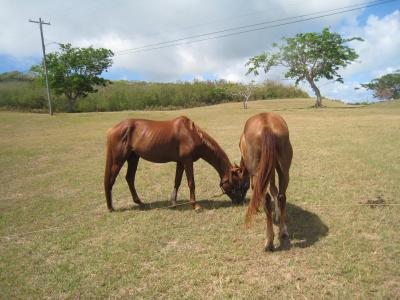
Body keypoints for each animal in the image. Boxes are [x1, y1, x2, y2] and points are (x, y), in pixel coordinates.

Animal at [104, 115, 245, 211]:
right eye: (236, 183)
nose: (239, 201)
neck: (192, 134)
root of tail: (112, 129)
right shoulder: (187, 161)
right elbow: (191, 183)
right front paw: (195, 206)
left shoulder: (180, 162)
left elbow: (177, 181)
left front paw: (173, 202)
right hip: (119, 159)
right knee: (111, 180)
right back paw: (111, 207)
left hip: (133, 158)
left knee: (129, 178)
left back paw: (140, 203)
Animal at [239, 112, 292, 251]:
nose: (238, 200)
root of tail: (266, 126)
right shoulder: (270, 169)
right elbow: (274, 189)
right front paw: (277, 215)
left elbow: (255, 189)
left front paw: (256, 208)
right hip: (284, 170)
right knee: (281, 196)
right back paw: (283, 231)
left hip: (258, 172)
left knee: (266, 199)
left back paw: (269, 241)